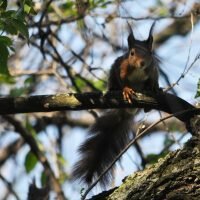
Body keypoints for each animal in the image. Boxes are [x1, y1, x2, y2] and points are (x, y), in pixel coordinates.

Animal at [72, 23, 159, 188]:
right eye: (131, 53)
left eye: (150, 53)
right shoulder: (121, 69)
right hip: (113, 73)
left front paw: (153, 88)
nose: (142, 63)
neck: (138, 70)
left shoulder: (153, 70)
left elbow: (153, 81)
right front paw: (126, 90)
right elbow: (122, 81)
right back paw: (115, 90)